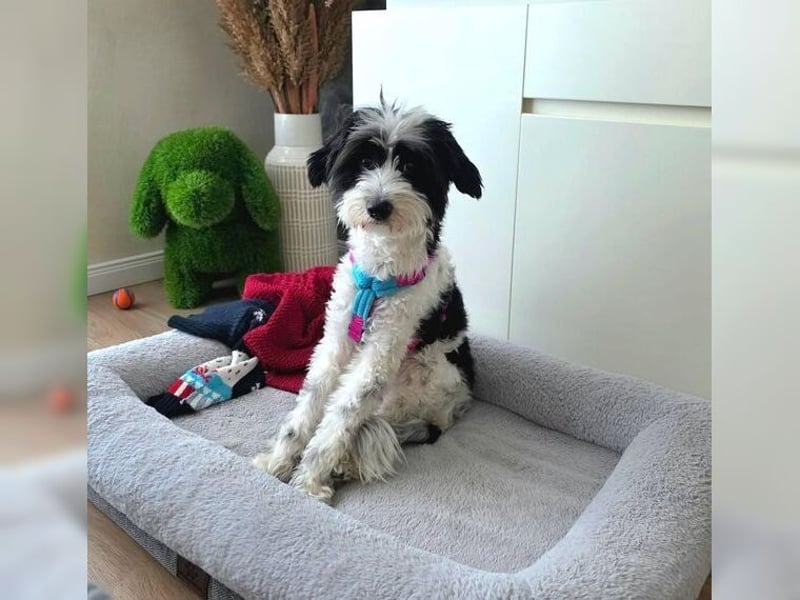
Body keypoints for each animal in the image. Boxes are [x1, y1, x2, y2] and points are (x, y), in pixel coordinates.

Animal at [253, 98, 483, 502]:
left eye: (410, 166)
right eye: (363, 161)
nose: (378, 206)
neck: (379, 273)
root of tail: (449, 415)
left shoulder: (380, 353)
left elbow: (340, 417)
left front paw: (308, 482)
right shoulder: (336, 338)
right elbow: (309, 403)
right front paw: (278, 463)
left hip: (417, 380)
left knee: (370, 423)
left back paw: (343, 464)